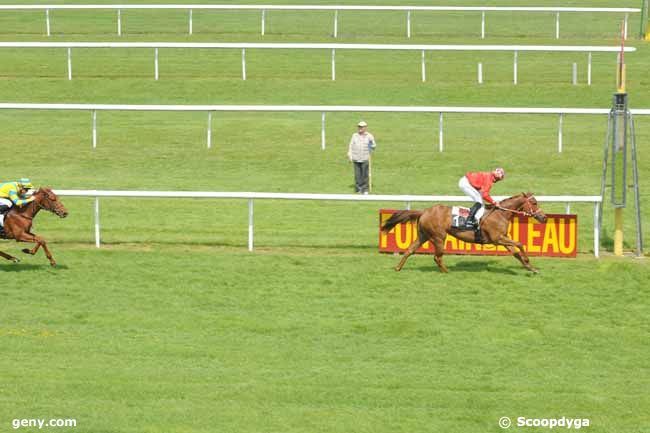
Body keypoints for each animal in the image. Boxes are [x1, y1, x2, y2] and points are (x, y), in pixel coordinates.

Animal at [380, 193, 548, 274]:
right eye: (534, 203)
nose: (544, 217)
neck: (500, 213)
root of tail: (424, 211)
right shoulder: (498, 238)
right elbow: (520, 244)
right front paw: (528, 260)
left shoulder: (503, 239)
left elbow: (516, 253)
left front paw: (531, 268)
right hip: (438, 237)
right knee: (437, 257)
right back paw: (447, 271)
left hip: (423, 236)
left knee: (409, 250)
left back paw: (397, 268)